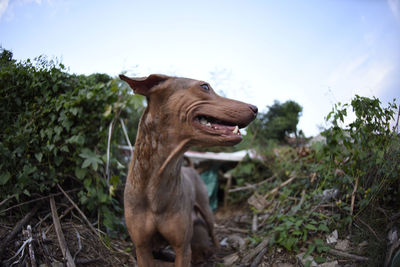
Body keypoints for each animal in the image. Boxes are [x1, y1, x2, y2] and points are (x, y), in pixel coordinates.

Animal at [119, 74, 256, 267]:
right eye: (205, 87)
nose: (255, 108)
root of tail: (190, 169)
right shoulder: (142, 248)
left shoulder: (182, 248)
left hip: (206, 209)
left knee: (212, 232)